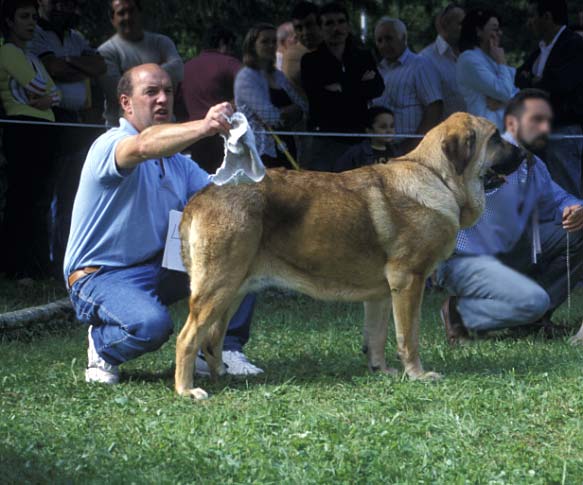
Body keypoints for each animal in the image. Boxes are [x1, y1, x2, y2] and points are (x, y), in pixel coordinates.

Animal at [173, 112, 524, 398]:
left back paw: (221, 378)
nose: (525, 151)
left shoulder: (382, 294)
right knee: (188, 337)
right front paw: (418, 374)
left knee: (212, 339)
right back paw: (187, 390)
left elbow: (378, 336)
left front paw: (381, 371)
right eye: (495, 137)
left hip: (234, 290)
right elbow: (408, 336)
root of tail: (201, 196)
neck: (437, 177)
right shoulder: (409, 281)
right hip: (219, 287)